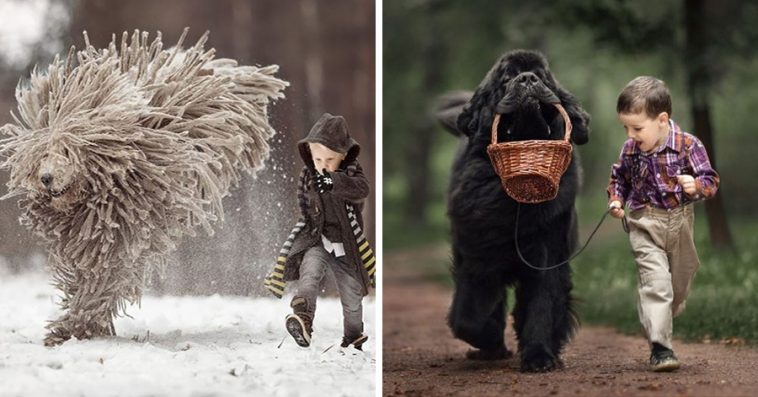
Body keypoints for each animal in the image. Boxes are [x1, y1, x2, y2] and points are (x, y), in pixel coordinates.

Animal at [0, 29, 288, 344]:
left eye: (67, 151)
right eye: (41, 155)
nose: (46, 178)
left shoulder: (121, 232)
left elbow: (102, 280)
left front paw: (77, 324)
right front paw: (76, 323)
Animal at [436, 49, 592, 372]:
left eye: (542, 76)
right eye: (507, 78)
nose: (527, 78)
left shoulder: (548, 252)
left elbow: (542, 305)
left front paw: (539, 356)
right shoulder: (477, 257)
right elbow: (468, 317)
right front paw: (490, 340)